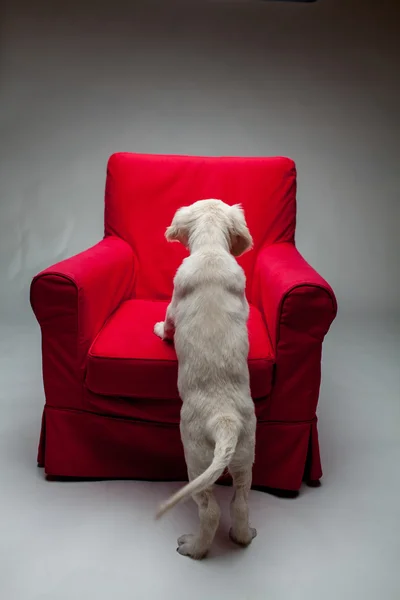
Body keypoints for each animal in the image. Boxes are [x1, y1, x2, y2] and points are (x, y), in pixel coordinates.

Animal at [153, 199, 256, 560]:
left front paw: (159, 330)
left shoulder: (173, 302)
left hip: (195, 458)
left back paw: (193, 547)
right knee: (240, 502)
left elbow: (168, 322)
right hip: (245, 455)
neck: (211, 249)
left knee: (210, 510)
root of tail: (224, 421)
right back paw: (243, 535)